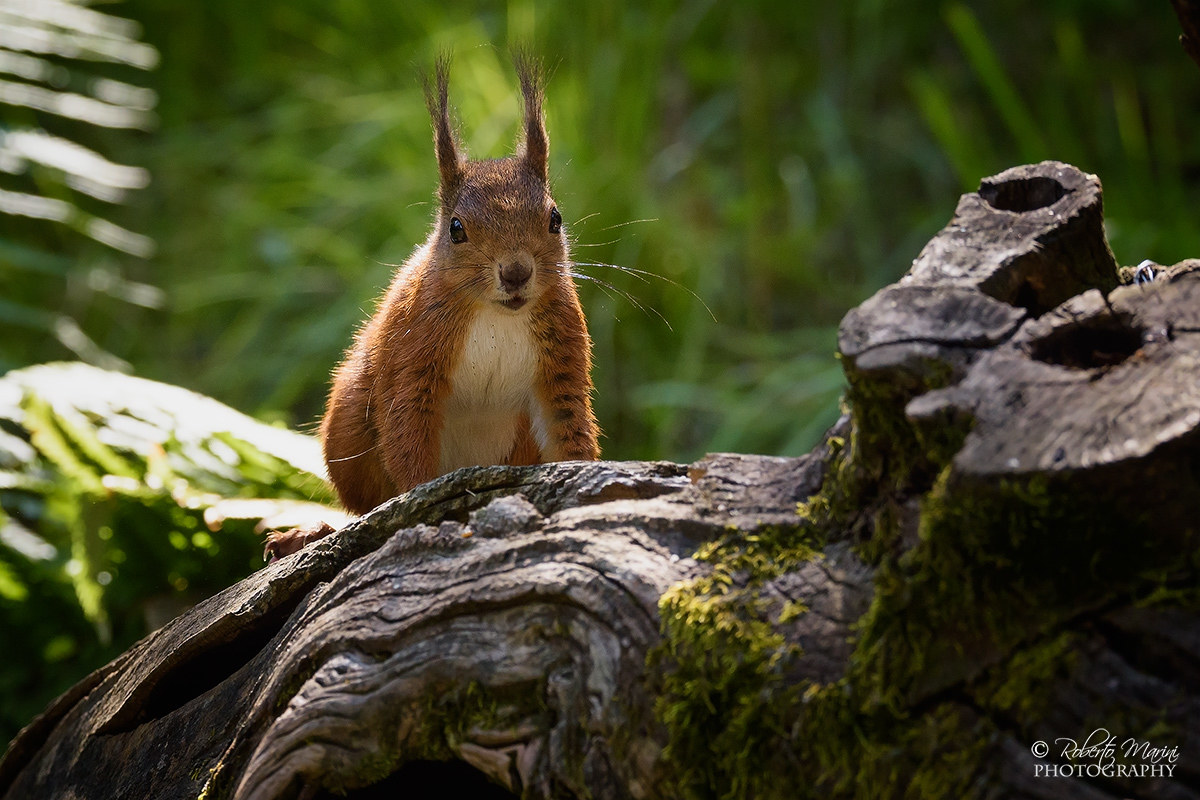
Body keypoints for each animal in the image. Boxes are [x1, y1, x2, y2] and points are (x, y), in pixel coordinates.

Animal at [264, 55, 600, 561]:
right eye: (456, 228)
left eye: (555, 219)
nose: (516, 272)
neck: (497, 314)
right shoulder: (414, 355)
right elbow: (409, 438)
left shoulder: (561, 353)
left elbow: (567, 426)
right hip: (348, 426)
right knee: (365, 504)